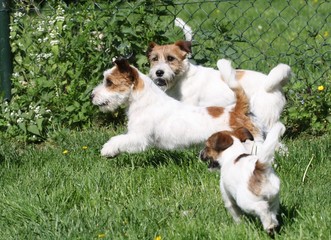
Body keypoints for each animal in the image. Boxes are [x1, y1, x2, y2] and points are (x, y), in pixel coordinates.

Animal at [91, 58, 262, 158]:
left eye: (109, 82)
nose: (91, 96)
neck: (145, 101)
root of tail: (235, 110)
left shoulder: (138, 137)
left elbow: (118, 139)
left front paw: (108, 150)